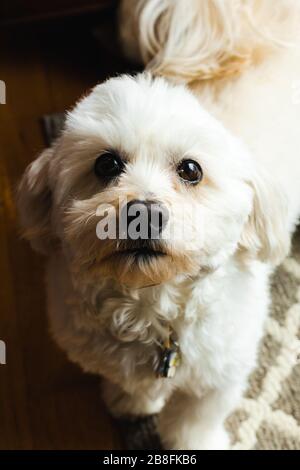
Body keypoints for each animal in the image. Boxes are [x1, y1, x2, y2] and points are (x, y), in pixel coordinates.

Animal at [18, 0, 300, 448]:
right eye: (106, 164)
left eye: (191, 170)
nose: (143, 213)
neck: (151, 307)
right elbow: (131, 385)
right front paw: (132, 402)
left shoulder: (220, 374)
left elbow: (194, 418)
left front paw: (195, 442)